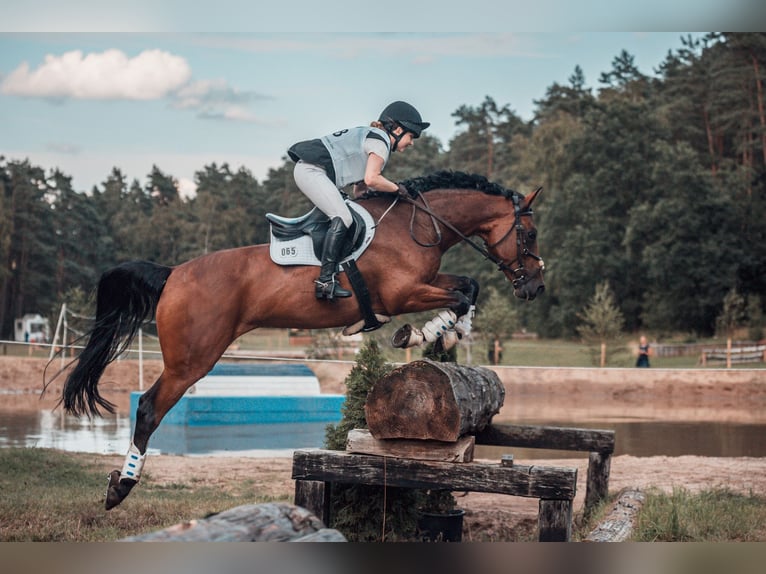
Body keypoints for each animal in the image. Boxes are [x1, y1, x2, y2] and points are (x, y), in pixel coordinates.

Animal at [57, 170, 544, 508]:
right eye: (531, 233)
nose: (535, 287)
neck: (420, 225)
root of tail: (173, 273)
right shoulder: (403, 292)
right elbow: (460, 294)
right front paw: (419, 333)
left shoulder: (424, 284)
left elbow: (468, 288)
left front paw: (450, 332)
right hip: (191, 360)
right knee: (149, 408)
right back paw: (121, 487)